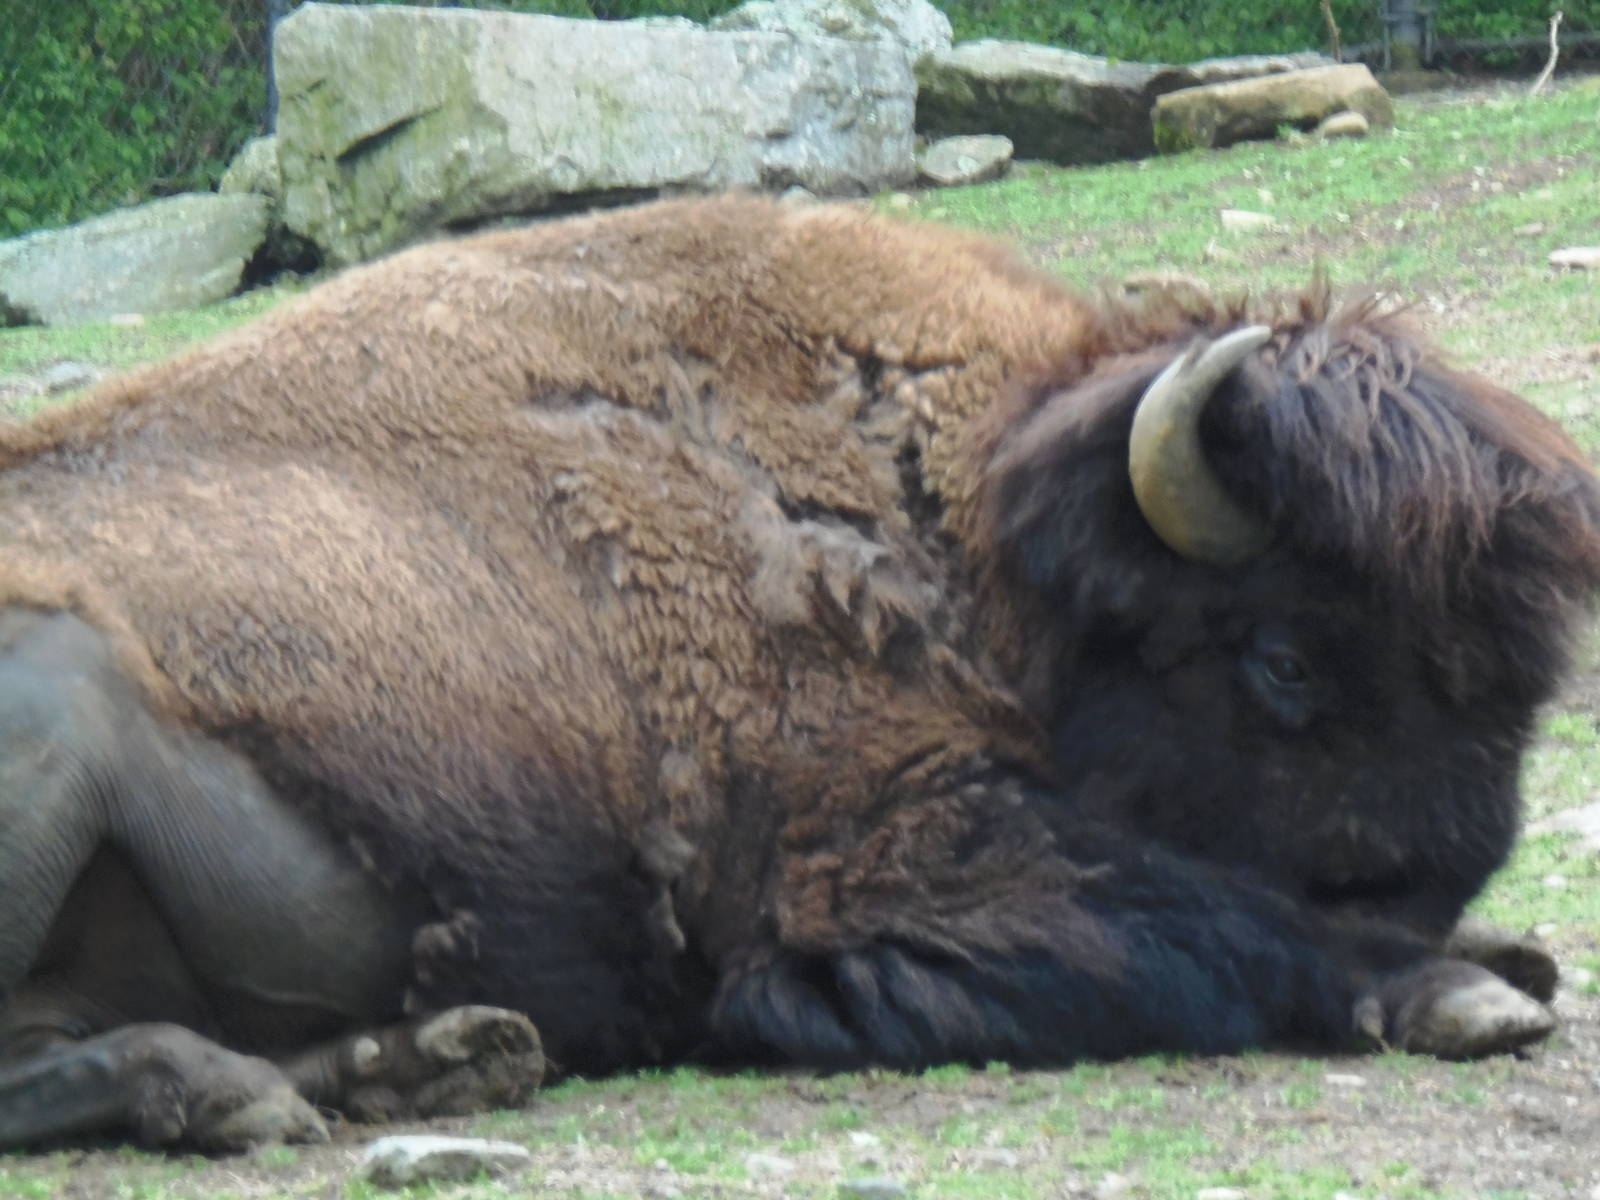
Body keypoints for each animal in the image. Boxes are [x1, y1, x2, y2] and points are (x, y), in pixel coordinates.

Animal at [0, 195, 1595, 1150]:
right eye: (1284, 658)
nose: (1431, 879)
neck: (978, 536)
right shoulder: (870, 886)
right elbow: (1221, 922)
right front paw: (1471, 989)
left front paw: (1500, 954)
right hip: (52, 703)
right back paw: (239, 1090)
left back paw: (427, 1060)